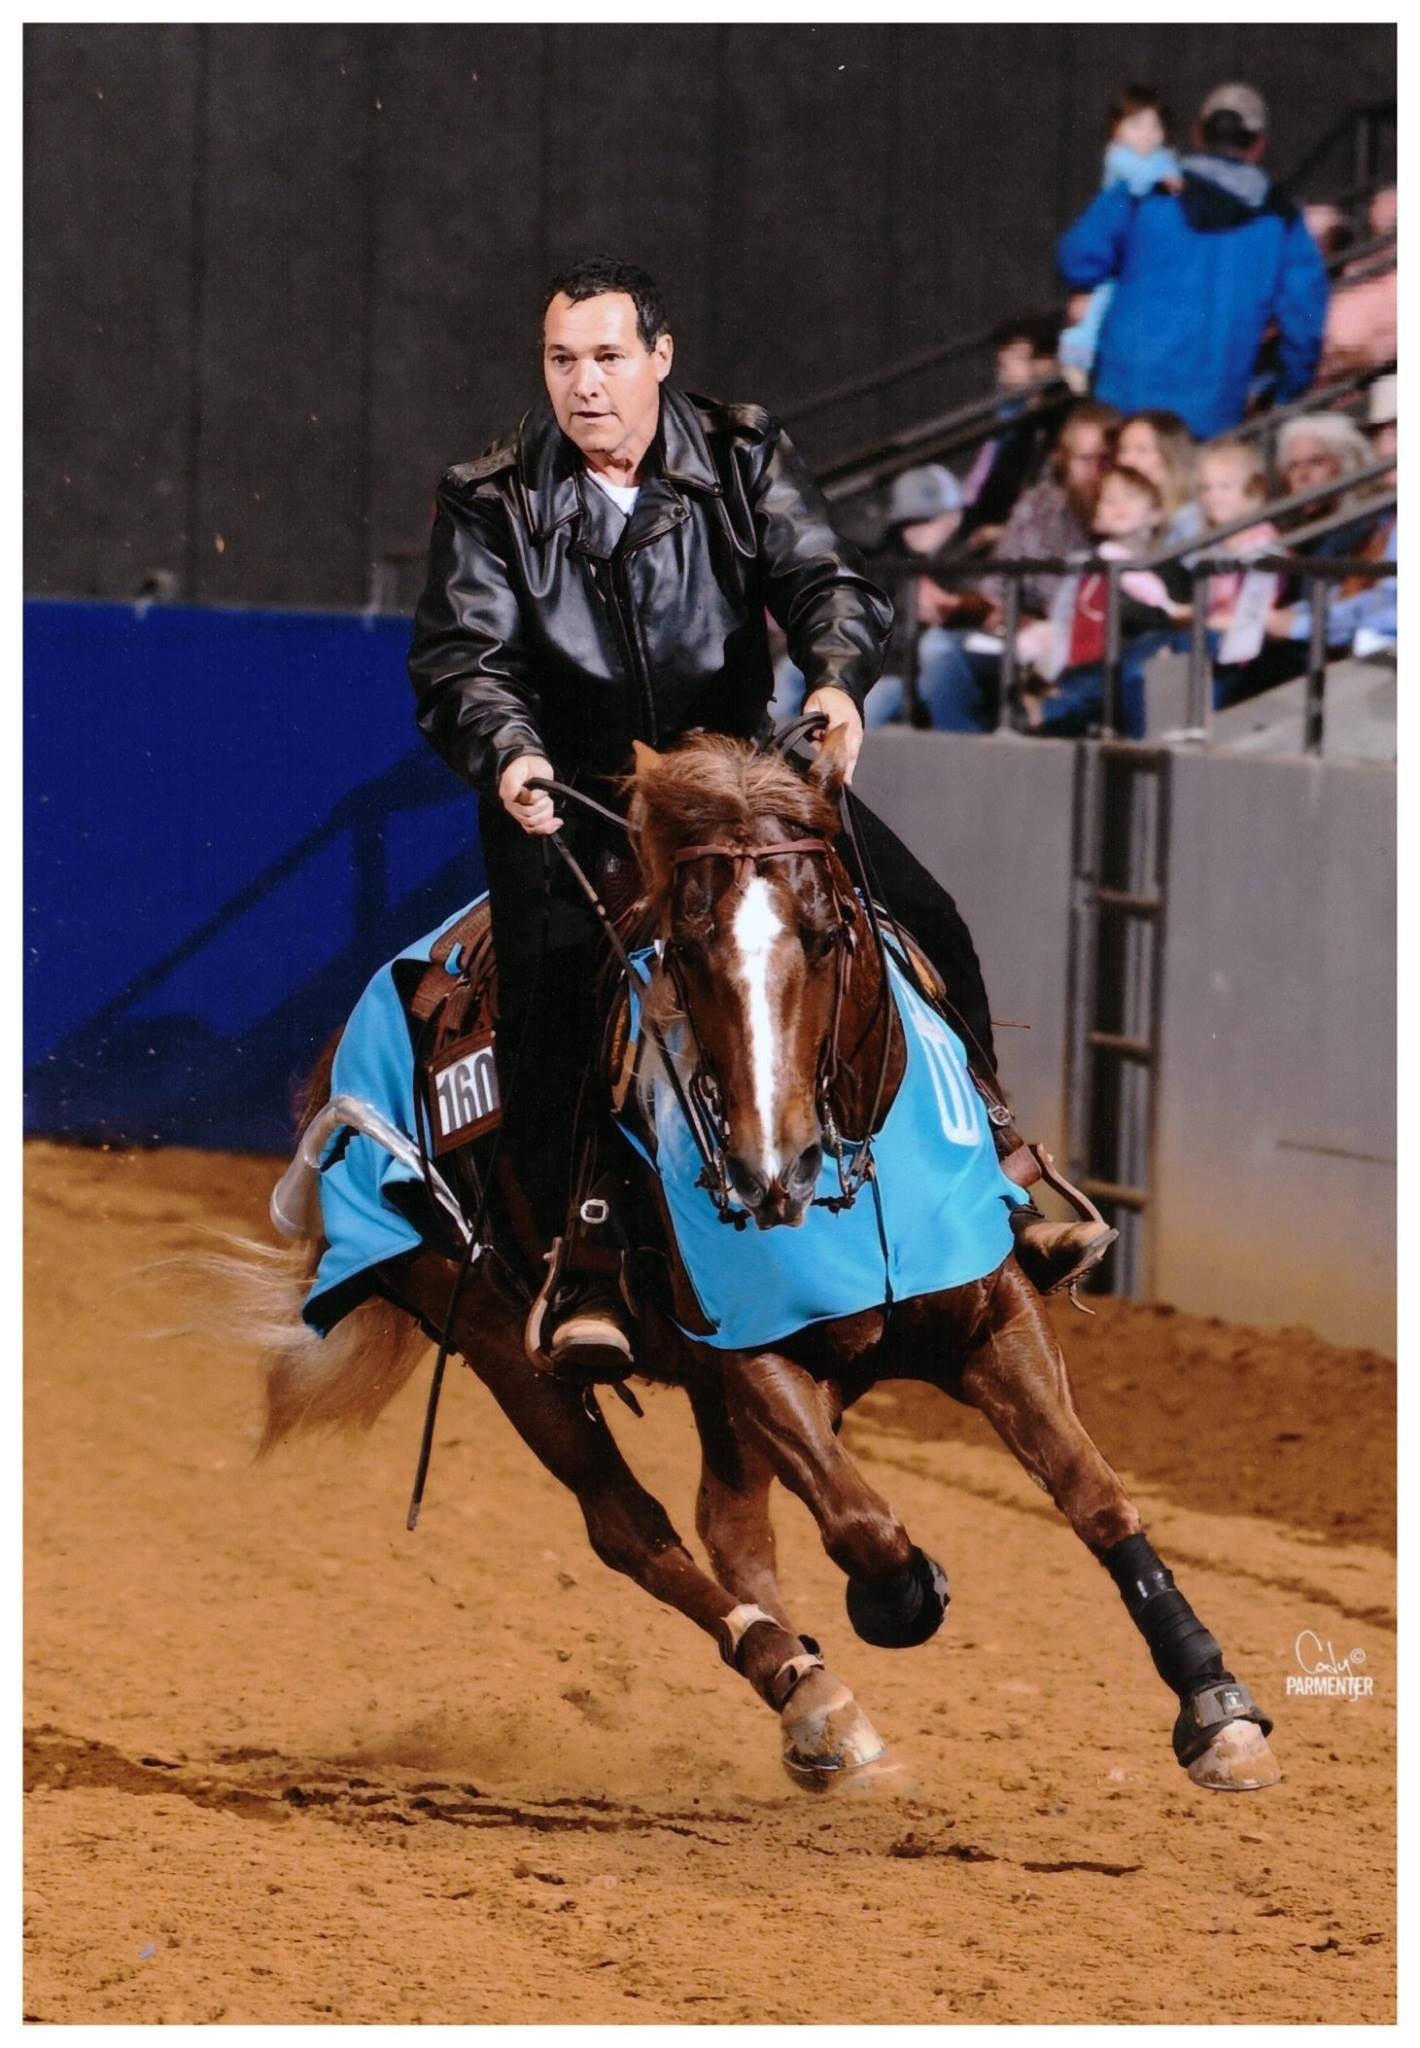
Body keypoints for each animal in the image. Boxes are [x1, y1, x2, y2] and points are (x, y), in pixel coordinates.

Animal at [226, 725, 1279, 1796]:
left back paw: (814, 1698)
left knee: (728, 1528)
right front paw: (899, 1599)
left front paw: (1215, 1706)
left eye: (824, 934)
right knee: (635, 1528)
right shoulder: (751, 1357)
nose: (772, 1168)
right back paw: (806, 1689)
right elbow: (863, 1525)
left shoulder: (992, 1317)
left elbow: (1089, 1488)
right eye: (686, 951)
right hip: (496, 1339)